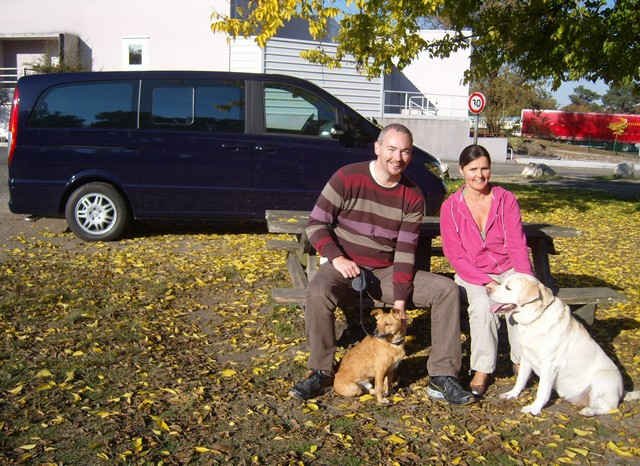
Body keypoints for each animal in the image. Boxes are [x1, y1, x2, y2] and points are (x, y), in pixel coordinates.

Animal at [490, 272, 624, 416]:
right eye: (502, 283)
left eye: (508, 288)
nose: (488, 289)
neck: (535, 319)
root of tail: (623, 392)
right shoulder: (526, 357)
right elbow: (521, 379)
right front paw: (512, 394)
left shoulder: (549, 365)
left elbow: (542, 391)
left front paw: (534, 408)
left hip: (603, 379)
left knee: (610, 408)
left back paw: (588, 411)